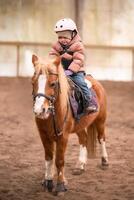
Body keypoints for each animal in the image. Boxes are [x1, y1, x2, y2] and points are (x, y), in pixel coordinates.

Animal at [30, 54, 108, 195]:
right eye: (33, 82)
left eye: (53, 84)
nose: (39, 110)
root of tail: (95, 82)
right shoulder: (44, 136)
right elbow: (49, 158)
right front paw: (47, 182)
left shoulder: (63, 136)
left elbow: (59, 160)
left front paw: (61, 186)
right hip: (80, 126)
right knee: (84, 139)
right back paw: (80, 165)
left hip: (100, 121)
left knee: (101, 138)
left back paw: (105, 162)